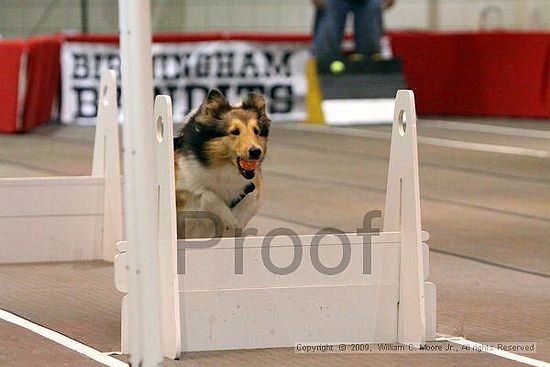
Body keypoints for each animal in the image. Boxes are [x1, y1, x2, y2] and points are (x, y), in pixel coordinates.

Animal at [175, 89, 272, 239]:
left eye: (256, 131)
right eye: (235, 131)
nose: (256, 152)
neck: (223, 167)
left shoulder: (251, 189)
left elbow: (246, 205)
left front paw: (235, 223)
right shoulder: (180, 187)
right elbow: (205, 193)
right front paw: (229, 220)